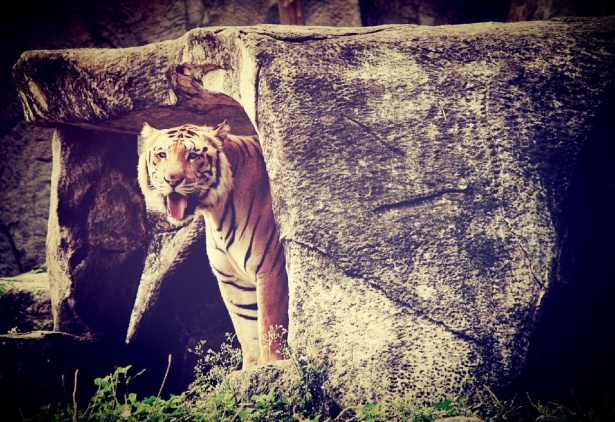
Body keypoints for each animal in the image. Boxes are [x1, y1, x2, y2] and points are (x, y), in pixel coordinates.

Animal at [137, 120, 288, 368]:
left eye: (192, 155)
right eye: (162, 154)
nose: (172, 180)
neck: (217, 212)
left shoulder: (271, 269)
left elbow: (270, 324)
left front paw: (273, 366)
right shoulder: (233, 280)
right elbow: (247, 329)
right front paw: (251, 369)